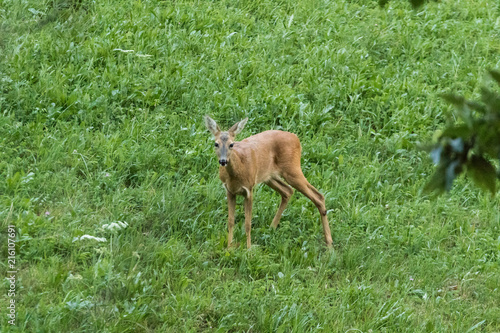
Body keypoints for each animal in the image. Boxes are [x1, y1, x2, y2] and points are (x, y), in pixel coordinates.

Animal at [205, 115, 334, 248]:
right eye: (216, 144)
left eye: (231, 144)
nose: (223, 161)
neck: (237, 173)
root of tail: (296, 138)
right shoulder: (229, 191)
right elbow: (230, 221)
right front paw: (229, 247)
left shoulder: (249, 189)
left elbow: (248, 223)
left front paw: (248, 249)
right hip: (269, 176)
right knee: (288, 191)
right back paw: (271, 228)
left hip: (293, 169)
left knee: (318, 196)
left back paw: (329, 243)